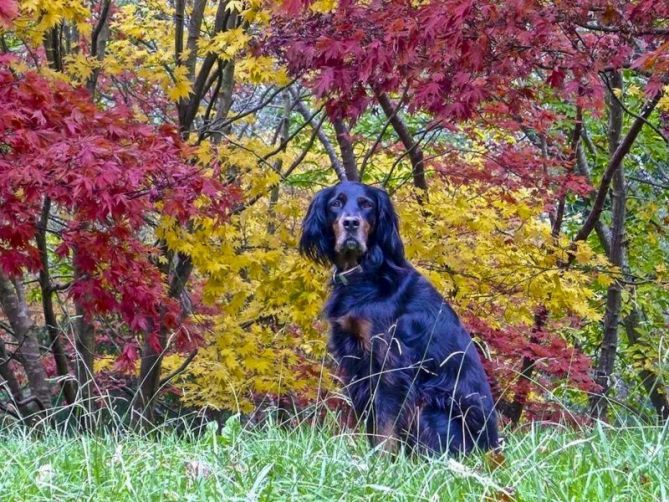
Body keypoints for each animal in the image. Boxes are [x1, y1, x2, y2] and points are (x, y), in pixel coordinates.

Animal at [300, 181, 498, 454]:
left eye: (367, 204)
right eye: (336, 203)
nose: (351, 223)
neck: (366, 273)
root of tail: (493, 450)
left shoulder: (391, 362)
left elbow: (385, 426)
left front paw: (381, 460)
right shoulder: (358, 364)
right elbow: (373, 423)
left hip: (429, 408)